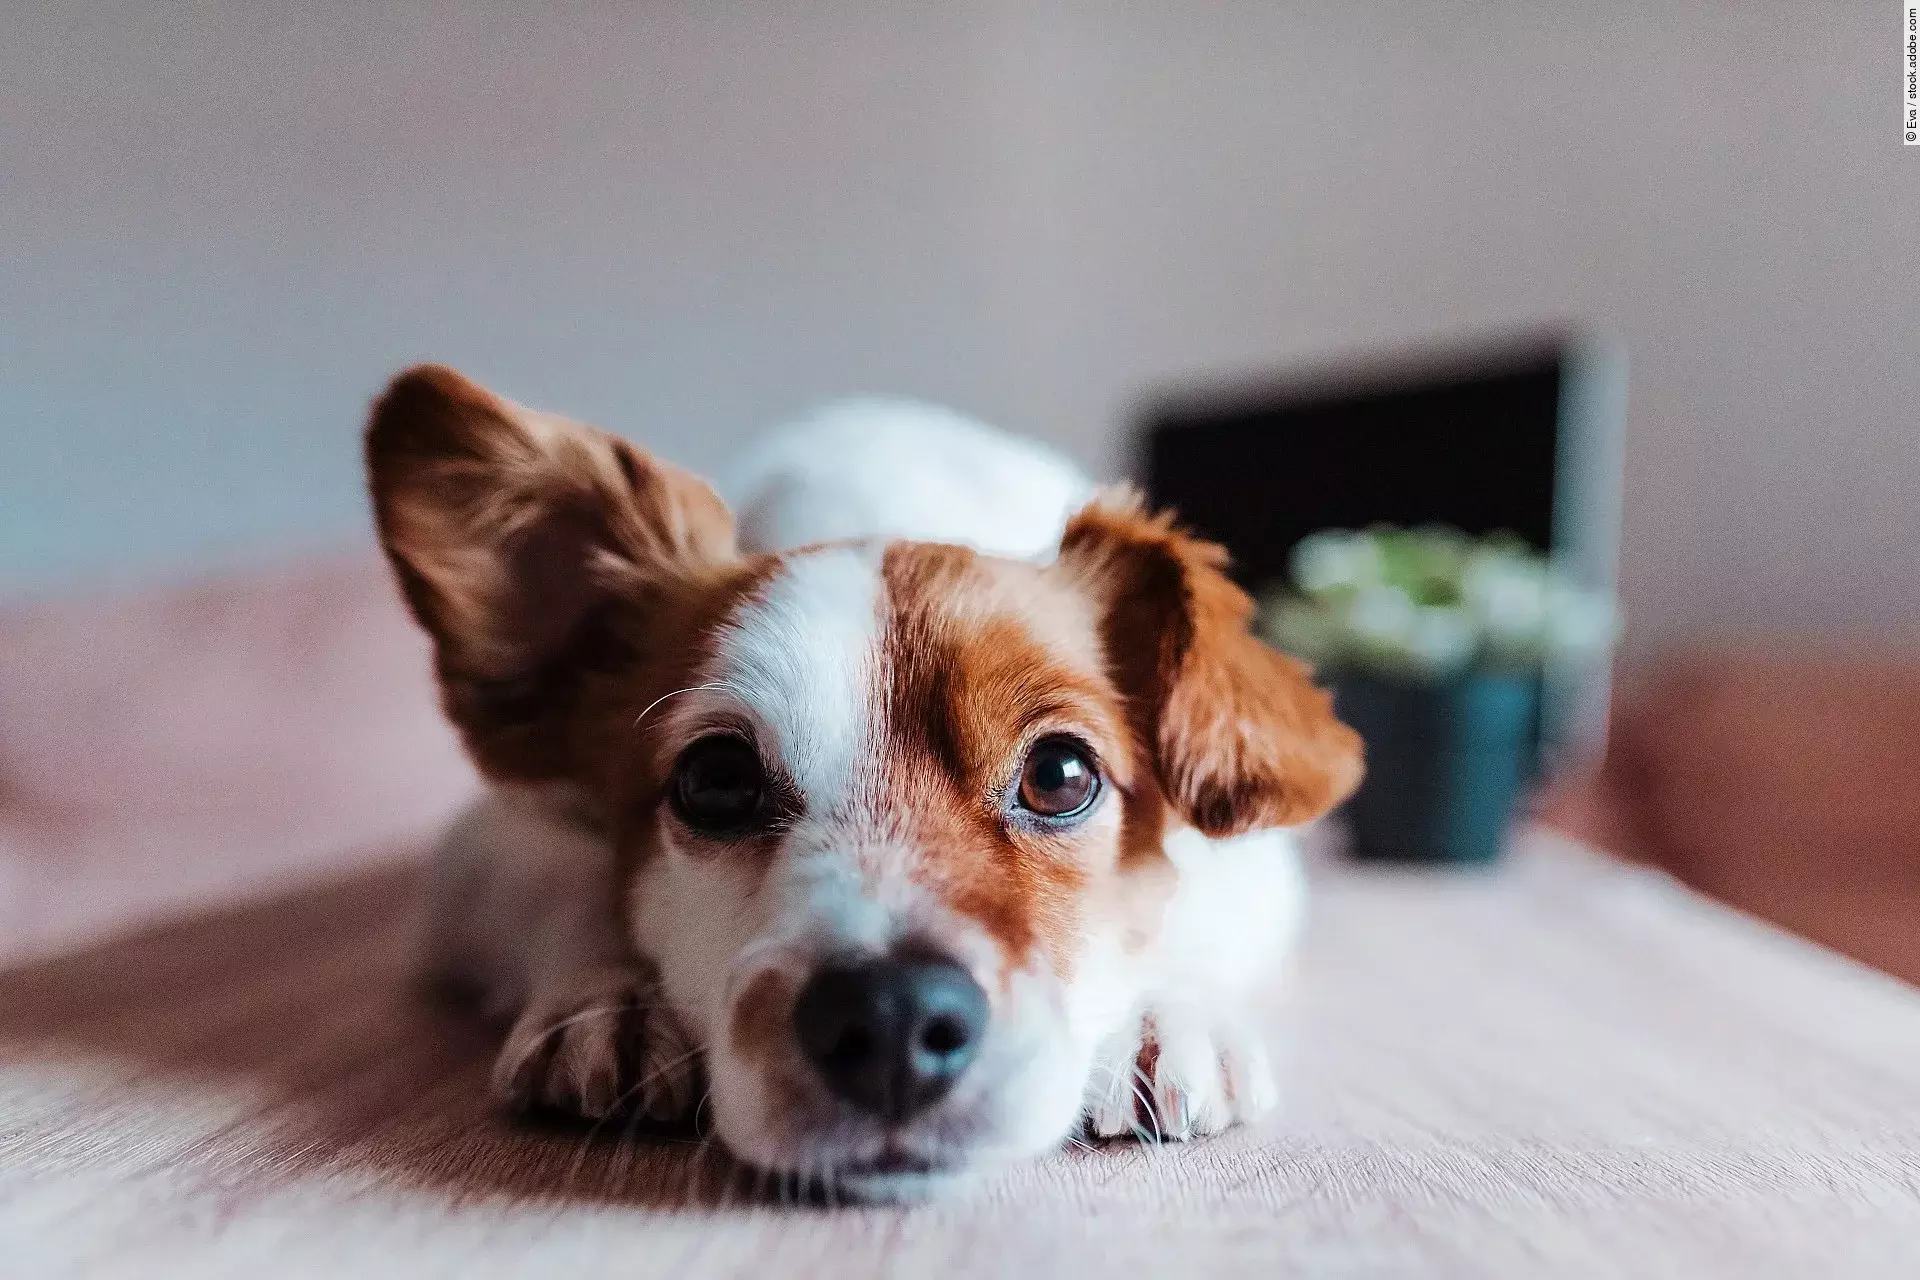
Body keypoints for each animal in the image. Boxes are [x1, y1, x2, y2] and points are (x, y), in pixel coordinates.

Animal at [364, 366, 1363, 1201]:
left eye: (1060, 774)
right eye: (715, 780)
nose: (890, 1021)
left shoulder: (1255, 861)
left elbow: (1186, 902)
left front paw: (1162, 1010)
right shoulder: (484, 844)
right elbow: (567, 883)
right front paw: (610, 998)